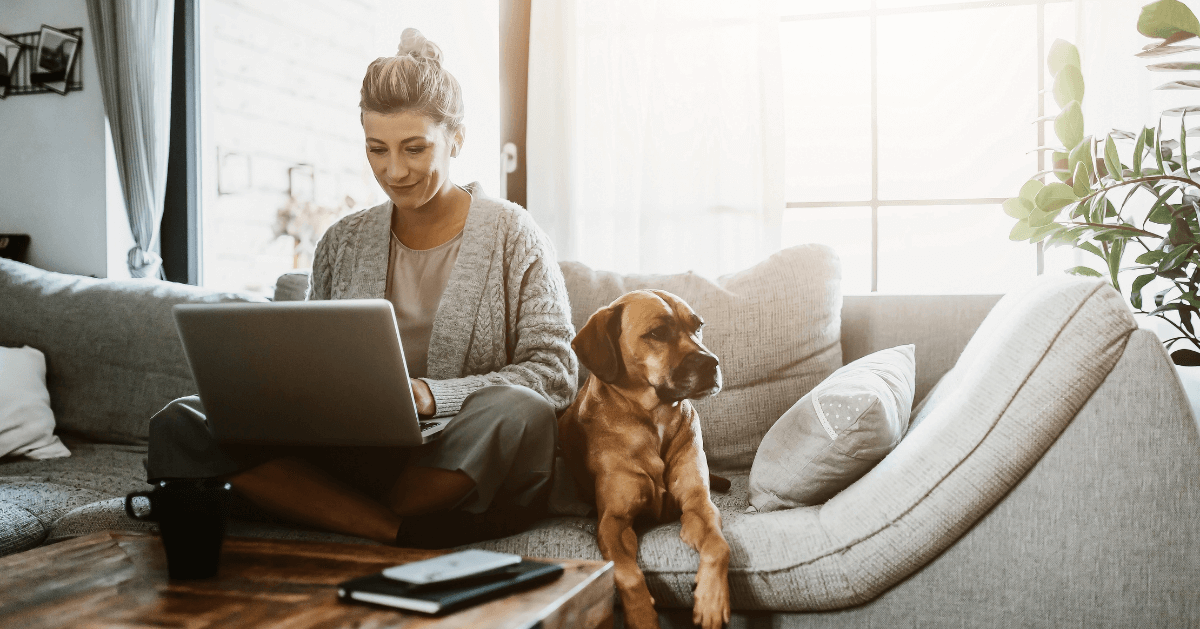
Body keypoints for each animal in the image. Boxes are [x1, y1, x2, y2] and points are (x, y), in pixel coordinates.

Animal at [556, 290, 724, 629]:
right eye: (658, 333)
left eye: (697, 326)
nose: (712, 363)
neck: (655, 418)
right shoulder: (613, 523)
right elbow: (628, 575)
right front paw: (643, 617)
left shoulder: (699, 504)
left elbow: (718, 546)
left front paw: (712, 600)